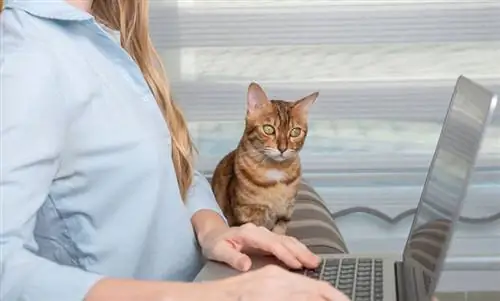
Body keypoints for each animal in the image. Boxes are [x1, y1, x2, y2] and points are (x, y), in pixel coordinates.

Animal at [210, 82, 318, 234]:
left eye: (295, 132)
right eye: (268, 129)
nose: (283, 148)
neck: (275, 171)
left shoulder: (284, 215)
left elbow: (278, 232)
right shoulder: (245, 215)